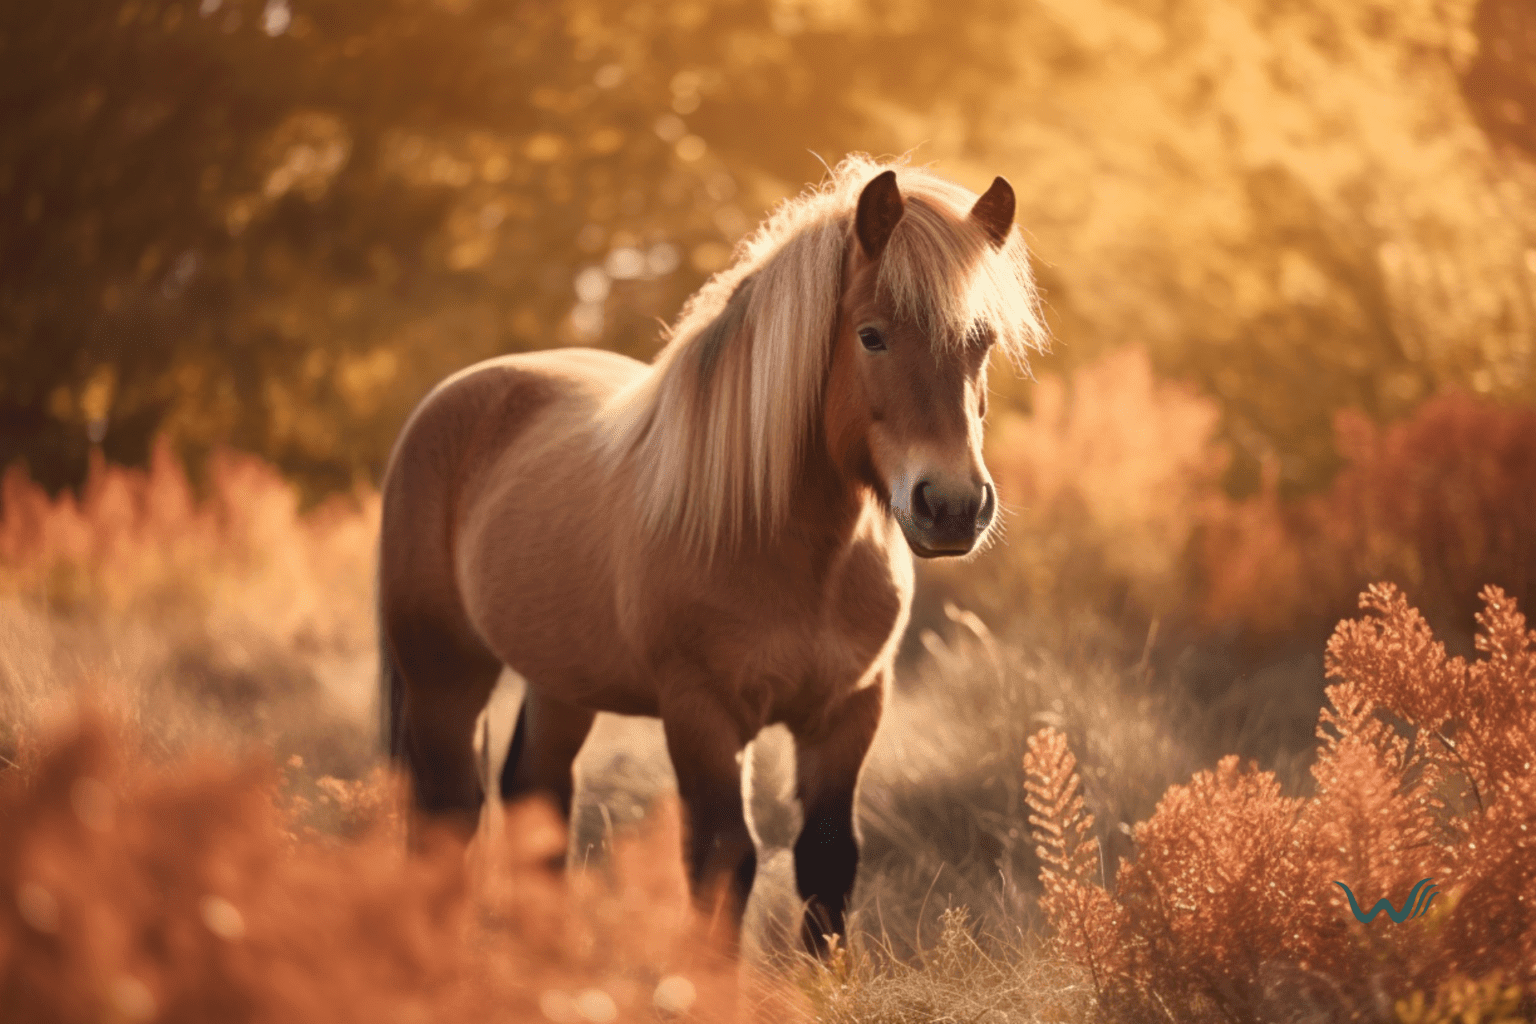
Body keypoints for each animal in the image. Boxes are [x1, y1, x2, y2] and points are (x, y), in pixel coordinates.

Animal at [376, 155, 1047, 955]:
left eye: (981, 342)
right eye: (872, 336)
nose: (950, 507)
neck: (791, 551)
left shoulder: (850, 708)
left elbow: (828, 856)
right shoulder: (700, 709)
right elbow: (724, 855)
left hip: (561, 681)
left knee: (534, 798)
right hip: (446, 675)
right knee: (446, 814)